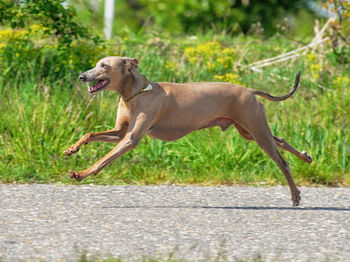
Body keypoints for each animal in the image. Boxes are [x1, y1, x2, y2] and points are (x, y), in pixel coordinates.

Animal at [64, 56, 314, 206]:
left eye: (104, 66)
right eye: (97, 63)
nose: (82, 76)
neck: (135, 93)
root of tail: (249, 90)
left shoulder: (130, 139)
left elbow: (104, 159)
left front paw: (81, 173)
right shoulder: (119, 131)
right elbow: (89, 135)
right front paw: (71, 149)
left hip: (256, 130)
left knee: (283, 162)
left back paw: (295, 194)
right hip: (249, 131)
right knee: (281, 140)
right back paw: (306, 156)